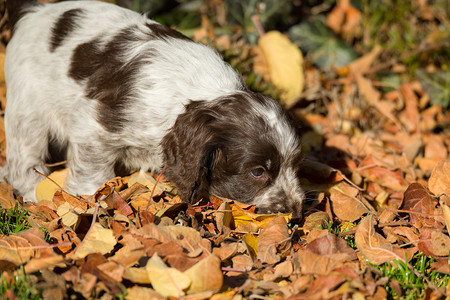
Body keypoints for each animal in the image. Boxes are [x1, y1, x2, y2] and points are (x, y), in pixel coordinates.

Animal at [1, 0, 304, 216]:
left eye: (295, 165)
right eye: (257, 172)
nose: (295, 212)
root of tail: (35, 10)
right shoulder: (95, 127)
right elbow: (93, 173)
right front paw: (86, 200)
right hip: (27, 107)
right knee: (24, 156)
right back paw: (32, 192)